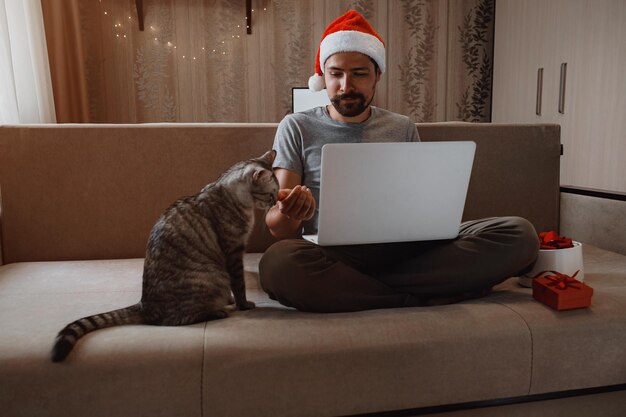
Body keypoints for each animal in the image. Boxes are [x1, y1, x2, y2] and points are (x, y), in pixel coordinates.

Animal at [50, 150, 280, 360]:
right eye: (272, 194)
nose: (277, 201)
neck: (231, 194)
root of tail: (144, 304)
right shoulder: (234, 252)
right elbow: (239, 284)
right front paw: (244, 304)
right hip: (211, 277)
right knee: (174, 320)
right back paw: (218, 311)